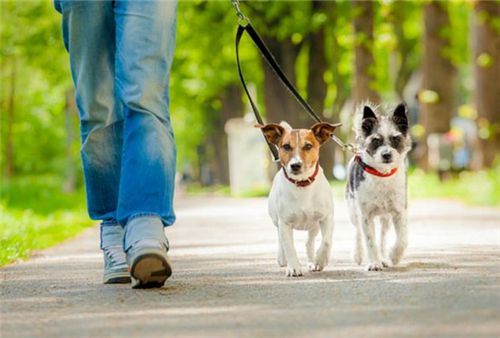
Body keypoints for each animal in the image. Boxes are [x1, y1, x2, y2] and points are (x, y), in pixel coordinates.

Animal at [256, 121, 342, 278]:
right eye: (286, 146)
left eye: (308, 146)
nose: (295, 165)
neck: (302, 185)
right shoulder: (284, 223)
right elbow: (289, 246)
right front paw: (294, 267)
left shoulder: (327, 218)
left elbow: (326, 241)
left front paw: (320, 260)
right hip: (276, 221)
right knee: (280, 239)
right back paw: (282, 258)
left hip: (314, 225)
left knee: (309, 242)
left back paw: (312, 261)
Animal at [346, 103, 412, 272]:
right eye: (376, 140)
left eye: (396, 138)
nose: (386, 155)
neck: (382, 174)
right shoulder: (365, 215)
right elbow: (369, 240)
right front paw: (374, 263)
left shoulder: (399, 212)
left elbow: (403, 239)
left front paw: (394, 256)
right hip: (353, 211)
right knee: (358, 232)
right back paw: (359, 254)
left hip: (385, 218)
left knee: (382, 237)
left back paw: (384, 258)